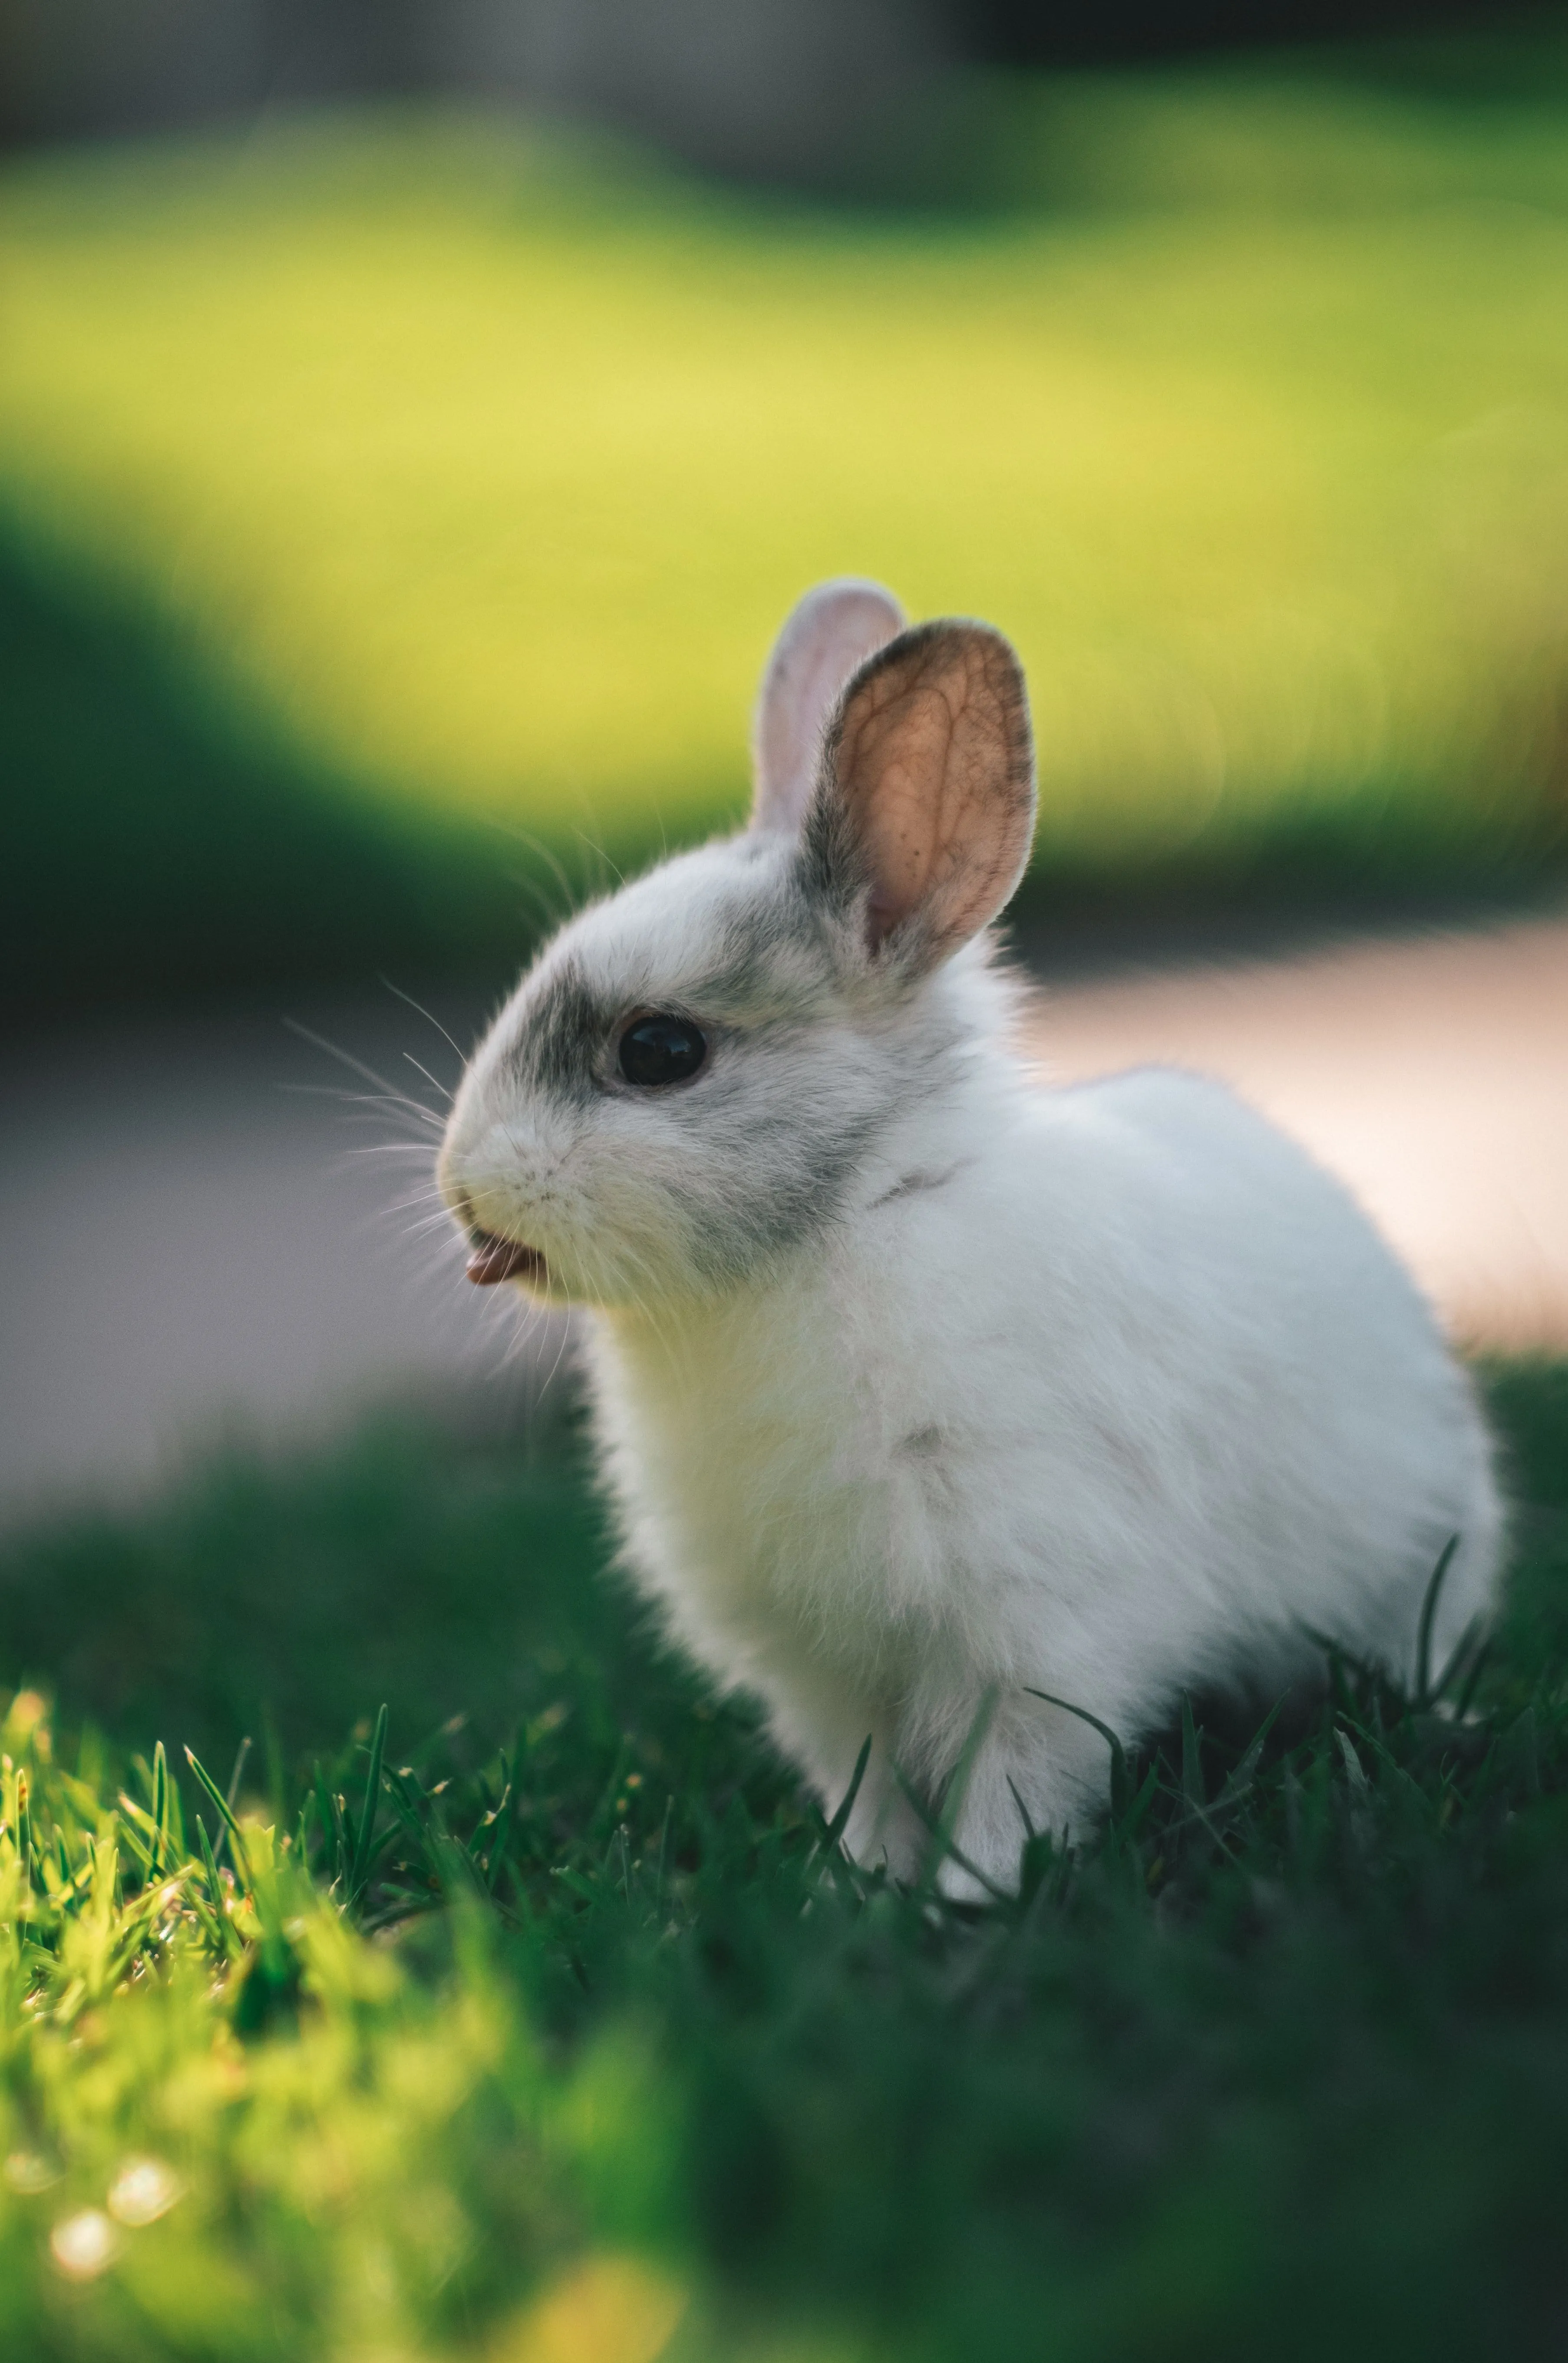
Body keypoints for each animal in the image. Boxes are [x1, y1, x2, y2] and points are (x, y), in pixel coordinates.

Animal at [437, 577, 1503, 1893]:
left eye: (659, 1050)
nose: (464, 1195)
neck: (846, 1221)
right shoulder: (828, 1677)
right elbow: (867, 1785)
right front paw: (862, 1888)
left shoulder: (1035, 1630)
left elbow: (1013, 1783)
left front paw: (974, 1897)